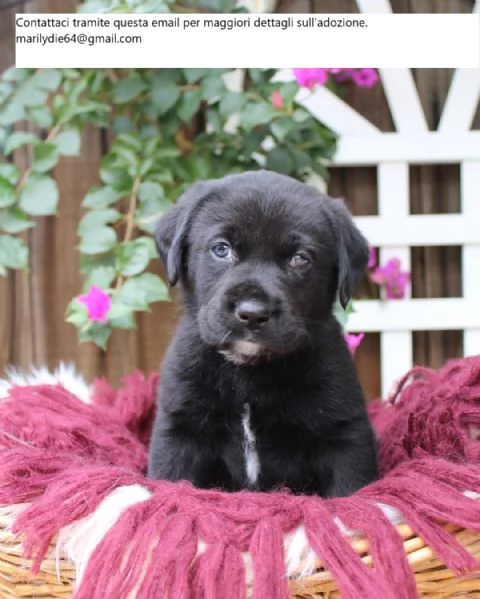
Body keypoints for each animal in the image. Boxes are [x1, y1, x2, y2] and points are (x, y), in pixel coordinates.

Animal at [148, 170, 380, 496]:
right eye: (222, 249)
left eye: (300, 258)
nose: (253, 313)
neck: (249, 373)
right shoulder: (180, 430)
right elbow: (169, 479)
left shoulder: (345, 434)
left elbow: (351, 489)